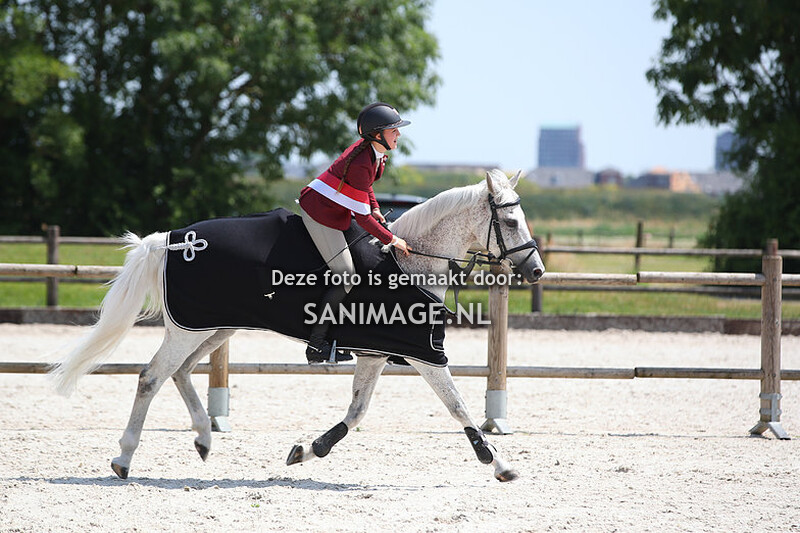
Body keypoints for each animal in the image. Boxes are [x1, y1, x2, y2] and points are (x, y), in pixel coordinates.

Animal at [51, 168, 545, 482]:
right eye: (509, 220)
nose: (537, 270)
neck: (411, 263)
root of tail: (171, 239)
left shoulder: (375, 354)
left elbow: (356, 412)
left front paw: (308, 450)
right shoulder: (424, 354)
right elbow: (458, 406)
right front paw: (498, 464)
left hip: (216, 327)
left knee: (181, 372)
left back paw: (205, 439)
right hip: (190, 328)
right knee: (151, 377)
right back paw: (124, 457)